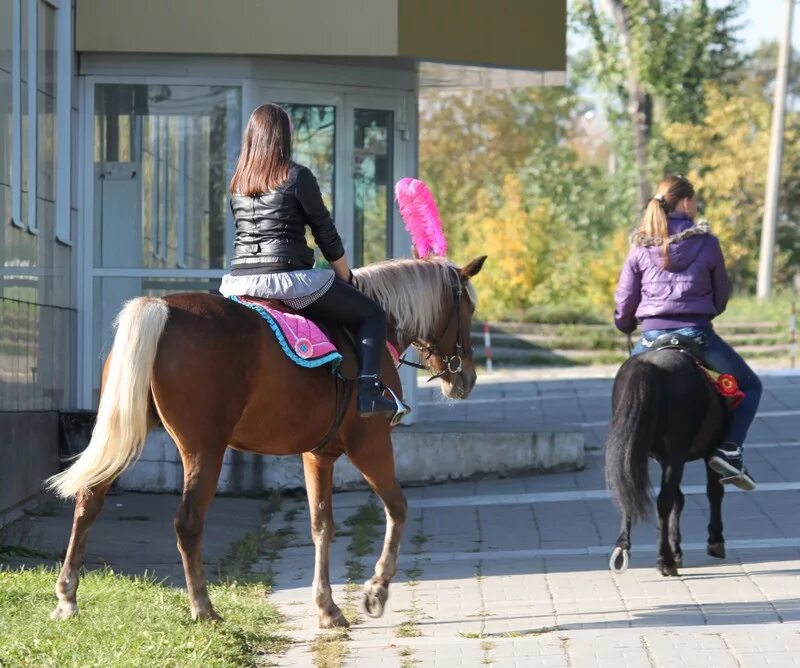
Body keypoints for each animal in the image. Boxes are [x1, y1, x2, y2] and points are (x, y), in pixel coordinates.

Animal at [48, 256, 488, 628]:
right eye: (468, 310)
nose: (466, 378)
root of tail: (162, 307)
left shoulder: (318, 455)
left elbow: (321, 526)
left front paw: (327, 607)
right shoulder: (371, 444)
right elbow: (398, 509)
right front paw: (375, 592)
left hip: (126, 434)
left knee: (89, 500)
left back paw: (68, 598)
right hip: (204, 450)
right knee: (187, 522)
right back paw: (203, 608)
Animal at [604, 342, 728, 576]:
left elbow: (680, 499)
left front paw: (677, 547)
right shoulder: (706, 451)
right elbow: (713, 491)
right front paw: (715, 541)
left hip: (633, 449)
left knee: (628, 490)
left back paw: (622, 549)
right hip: (675, 454)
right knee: (664, 501)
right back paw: (665, 561)